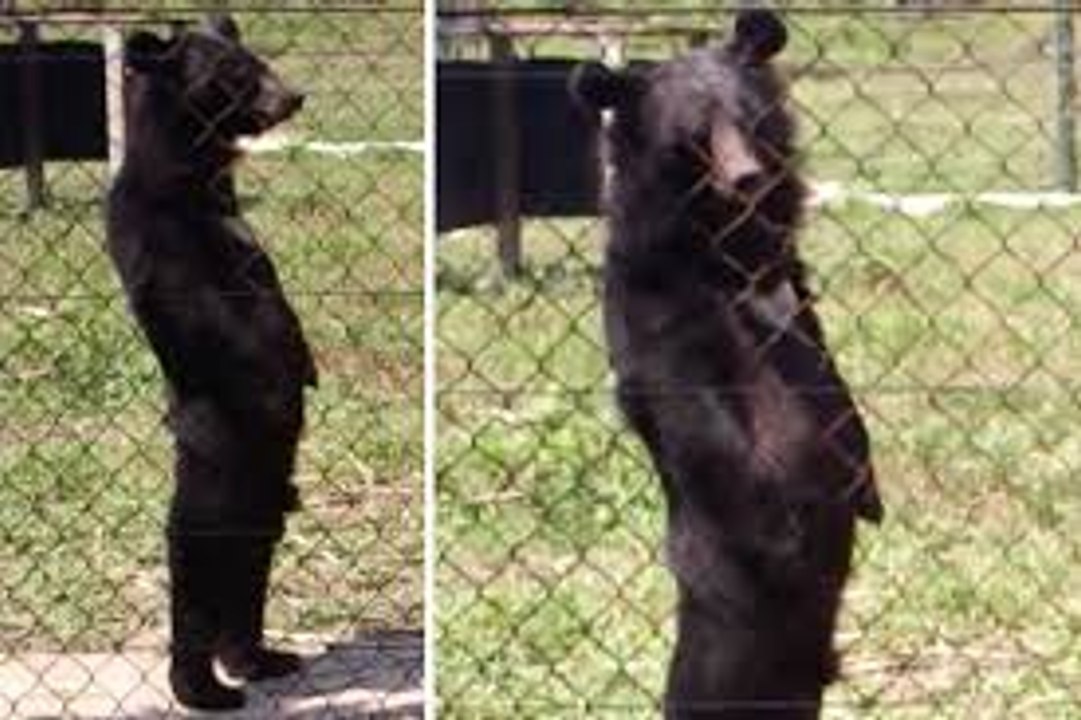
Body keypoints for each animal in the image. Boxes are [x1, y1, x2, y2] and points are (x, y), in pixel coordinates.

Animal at [105, 15, 316, 711]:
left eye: (258, 61)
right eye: (237, 74)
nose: (295, 96)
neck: (196, 177)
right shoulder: (163, 243)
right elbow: (226, 324)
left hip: (267, 487)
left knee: (254, 556)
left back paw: (259, 658)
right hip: (217, 478)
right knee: (198, 561)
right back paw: (205, 688)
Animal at [570, 9, 883, 719]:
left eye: (750, 120)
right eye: (694, 138)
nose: (747, 179)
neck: (731, 251)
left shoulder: (796, 293)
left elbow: (837, 404)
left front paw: (868, 494)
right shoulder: (660, 310)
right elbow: (711, 431)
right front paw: (787, 529)